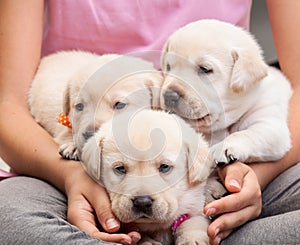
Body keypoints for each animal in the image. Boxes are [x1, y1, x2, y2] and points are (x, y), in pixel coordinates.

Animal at [79, 109, 211, 245]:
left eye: (164, 167)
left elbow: (193, 220)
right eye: (120, 168)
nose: (142, 203)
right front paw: (147, 241)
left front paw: (192, 237)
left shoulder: (195, 205)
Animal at [159, 19, 292, 165]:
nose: (169, 96)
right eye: (168, 67)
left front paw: (224, 147)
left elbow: (246, 133)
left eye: (205, 69)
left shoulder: (270, 124)